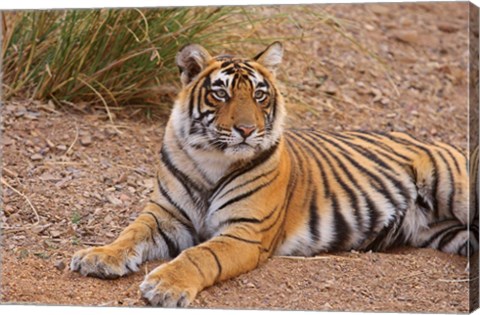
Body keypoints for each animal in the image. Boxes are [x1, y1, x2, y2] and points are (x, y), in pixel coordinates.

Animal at [69, 42, 478, 308]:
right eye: (221, 94)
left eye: (260, 95)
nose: (246, 130)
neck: (211, 159)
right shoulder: (164, 216)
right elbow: (130, 233)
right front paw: (99, 256)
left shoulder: (245, 232)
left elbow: (200, 255)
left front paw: (166, 284)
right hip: (449, 234)